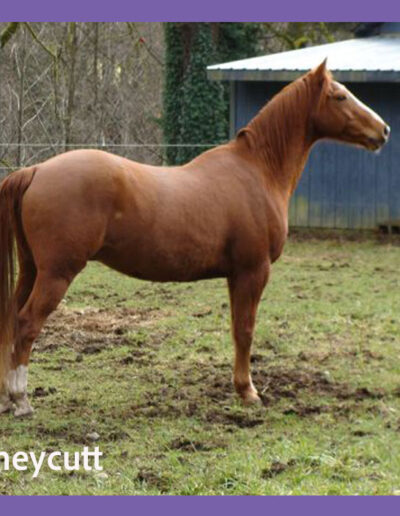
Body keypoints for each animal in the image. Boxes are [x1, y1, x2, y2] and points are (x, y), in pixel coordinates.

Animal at [0, 60, 390, 417]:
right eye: (340, 96)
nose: (383, 130)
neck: (258, 170)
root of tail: (35, 170)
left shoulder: (236, 275)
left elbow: (235, 329)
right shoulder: (253, 271)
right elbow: (245, 330)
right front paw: (248, 392)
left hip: (33, 269)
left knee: (12, 318)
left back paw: (7, 398)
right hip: (57, 273)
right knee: (27, 324)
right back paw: (21, 400)